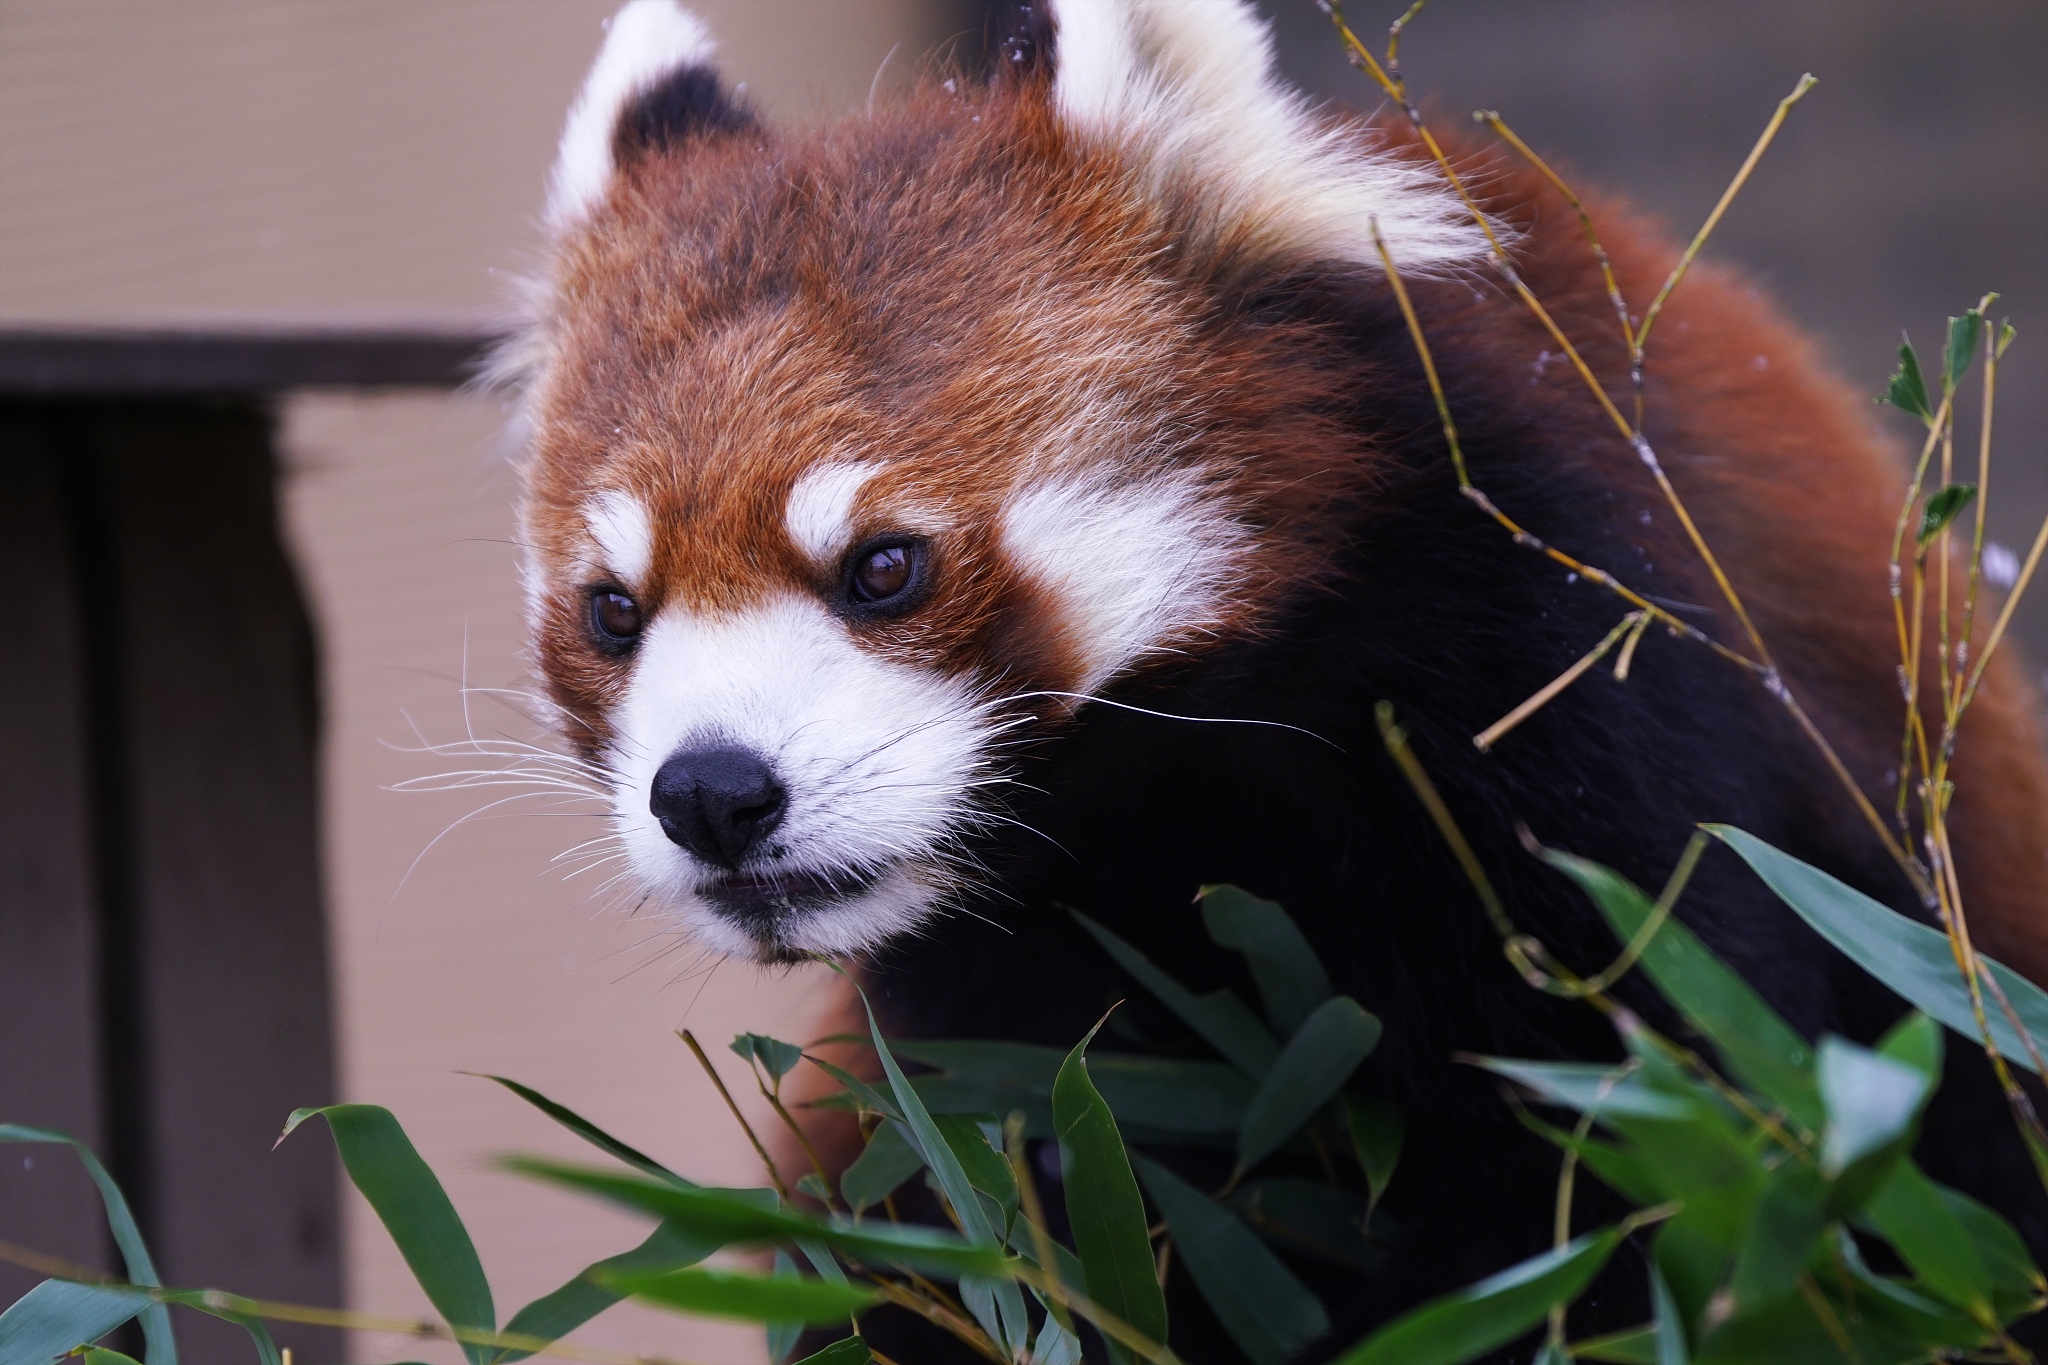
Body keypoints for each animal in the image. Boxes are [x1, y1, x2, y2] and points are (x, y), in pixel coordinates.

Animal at [499, 0, 2048, 1358]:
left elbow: (1636, 1151)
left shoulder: (1577, 683)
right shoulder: (998, 1027)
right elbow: (971, 1216)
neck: (1176, 786)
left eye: (884, 566)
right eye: (614, 610)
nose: (712, 792)